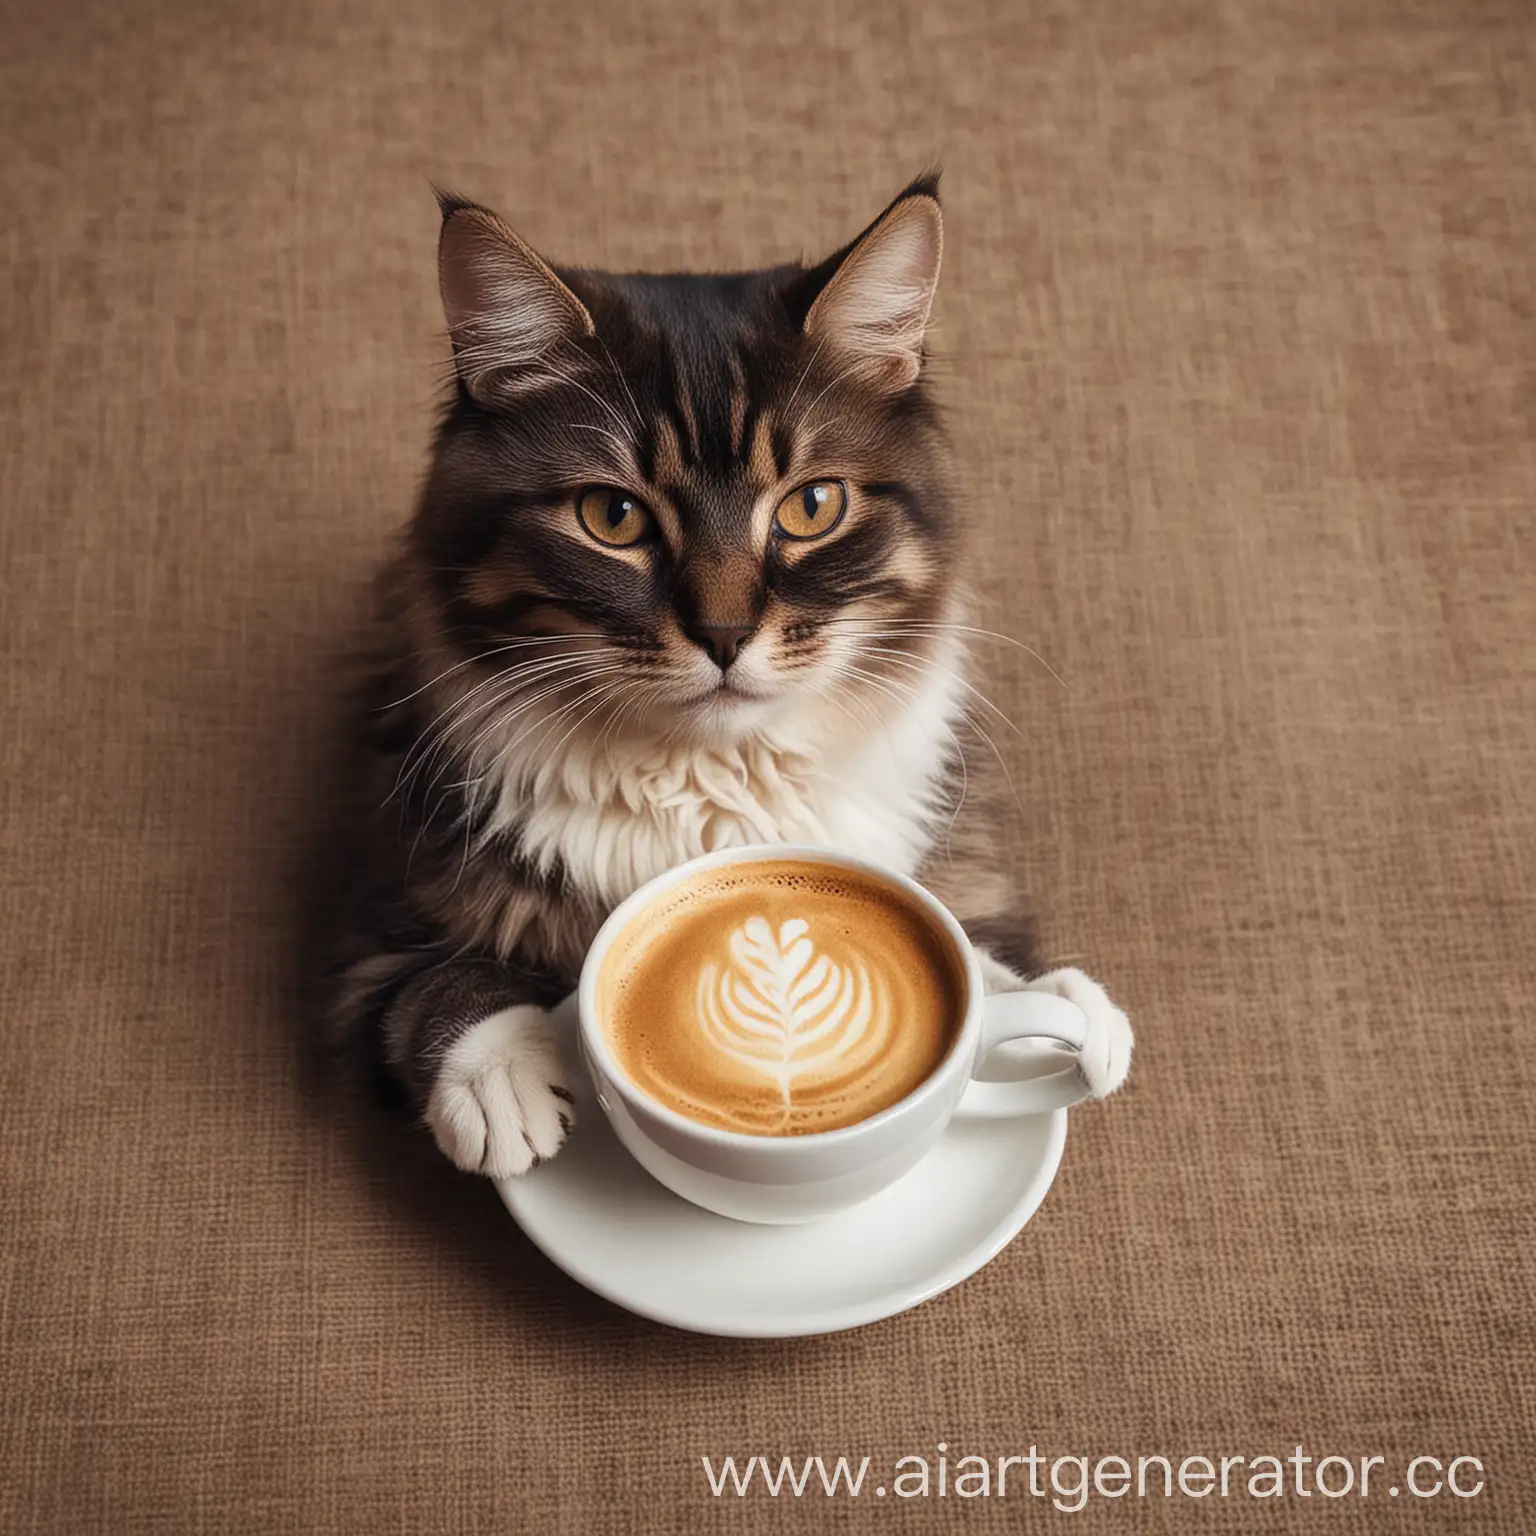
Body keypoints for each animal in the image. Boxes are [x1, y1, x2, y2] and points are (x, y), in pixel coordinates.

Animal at [330, 174, 1136, 1173]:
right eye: (612, 518)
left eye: (812, 507)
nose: (723, 634)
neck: (715, 795)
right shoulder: (374, 922)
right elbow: (437, 984)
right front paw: (503, 1082)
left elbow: (975, 959)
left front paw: (1061, 1011)